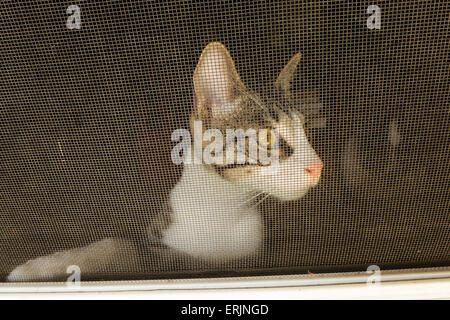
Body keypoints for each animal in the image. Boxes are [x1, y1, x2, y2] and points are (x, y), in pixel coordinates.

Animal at [7, 41, 324, 282]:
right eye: (268, 137)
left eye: (305, 131)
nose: (318, 166)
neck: (220, 209)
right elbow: (125, 246)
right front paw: (41, 267)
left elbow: (134, 251)